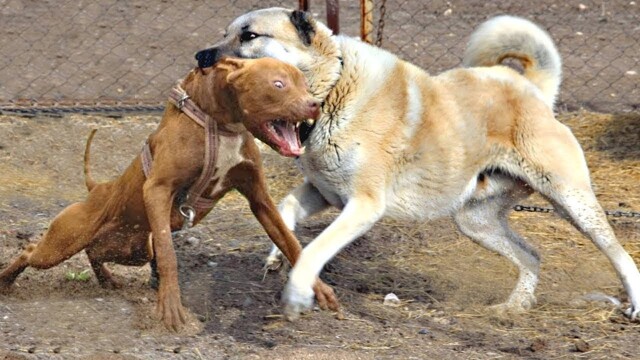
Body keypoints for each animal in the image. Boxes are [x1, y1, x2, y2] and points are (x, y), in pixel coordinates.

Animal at [0, 57, 340, 330]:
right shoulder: (158, 190)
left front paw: (318, 289)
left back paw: (107, 280)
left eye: (305, 84)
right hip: (63, 243)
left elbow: (291, 243)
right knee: (31, 251)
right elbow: (168, 256)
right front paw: (171, 308)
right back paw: (7, 280)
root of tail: (97, 188)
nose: (315, 104)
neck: (221, 123)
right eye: (278, 84)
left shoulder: (260, 199)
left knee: (94, 253)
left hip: (132, 249)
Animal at [198, 7, 640, 318]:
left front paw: (296, 292)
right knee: (531, 255)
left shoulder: (363, 205)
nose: (201, 55)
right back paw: (513, 309)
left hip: (572, 201)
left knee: (620, 255)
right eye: (224, 32)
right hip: (474, 220)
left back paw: (632, 303)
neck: (333, 91)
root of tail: (532, 90)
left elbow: (315, 249)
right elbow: (285, 209)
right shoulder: (322, 192)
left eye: (250, 35)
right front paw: (276, 254)